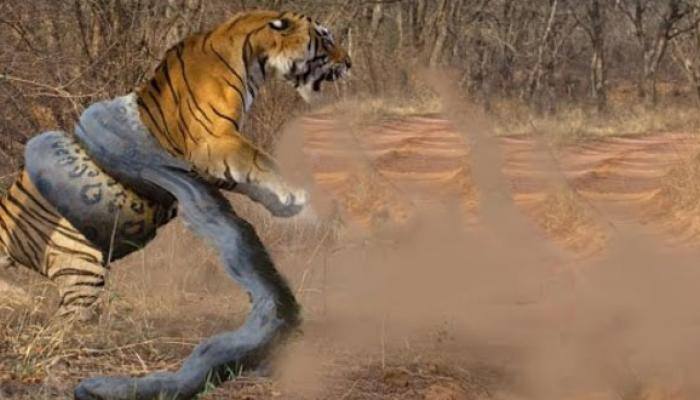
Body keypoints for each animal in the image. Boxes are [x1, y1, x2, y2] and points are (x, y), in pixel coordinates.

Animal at [0, 9, 351, 321]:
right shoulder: (214, 141)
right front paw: (299, 197)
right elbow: (261, 161)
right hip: (80, 264)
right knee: (65, 322)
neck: (252, 55)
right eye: (325, 37)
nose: (348, 63)